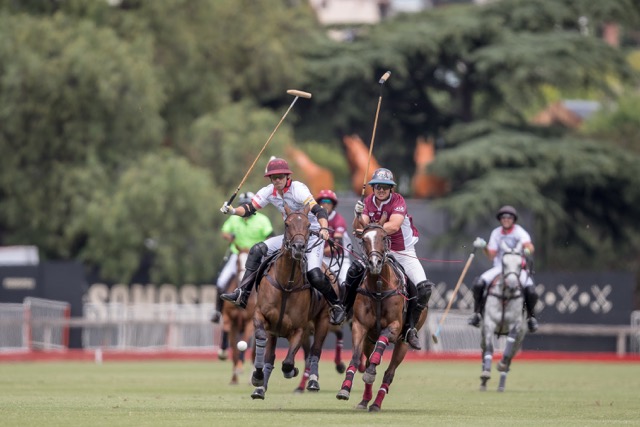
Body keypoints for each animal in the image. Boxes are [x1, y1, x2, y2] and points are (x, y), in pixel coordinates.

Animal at [221, 249, 256, 386]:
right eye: (237, 262)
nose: (243, 279)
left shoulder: (250, 322)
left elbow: (244, 343)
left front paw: (240, 367)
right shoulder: (230, 320)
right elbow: (234, 351)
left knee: (254, 353)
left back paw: (253, 378)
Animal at [249, 206, 336, 400]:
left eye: (308, 225)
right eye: (287, 224)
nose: (299, 247)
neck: (286, 285)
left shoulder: (299, 329)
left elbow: (288, 361)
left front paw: (292, 371)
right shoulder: (262, 317)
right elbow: (261, 340)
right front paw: (257, 378)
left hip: (323, 320)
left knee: (316, 350)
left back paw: (312, 381)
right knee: (270, 357)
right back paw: (260, 388)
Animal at [332, 224, 428, 412]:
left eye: (384, 238)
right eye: (364, 239)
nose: (374, 263)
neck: (378, 287)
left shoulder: (394, 326)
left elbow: (382, 345)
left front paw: (370, 372)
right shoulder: (360, 326)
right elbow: (355, 358)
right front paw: (345, 388)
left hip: (403, 343)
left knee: (389, 373)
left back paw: (376, 403)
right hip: (369, 340)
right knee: (370, 358)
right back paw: (364, 401)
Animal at [482, 241, 528, 392]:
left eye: (520, 264)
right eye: (504, 263)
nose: (513, 285)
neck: (505, 296)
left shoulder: (516, 326)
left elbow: (507, 352)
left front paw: (501, 365)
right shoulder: (489, 323)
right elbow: (489, 348)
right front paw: (486, 373)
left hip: (521, 336)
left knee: (510, 357)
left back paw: (501, 385)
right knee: (484, 350)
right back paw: (483, 381)